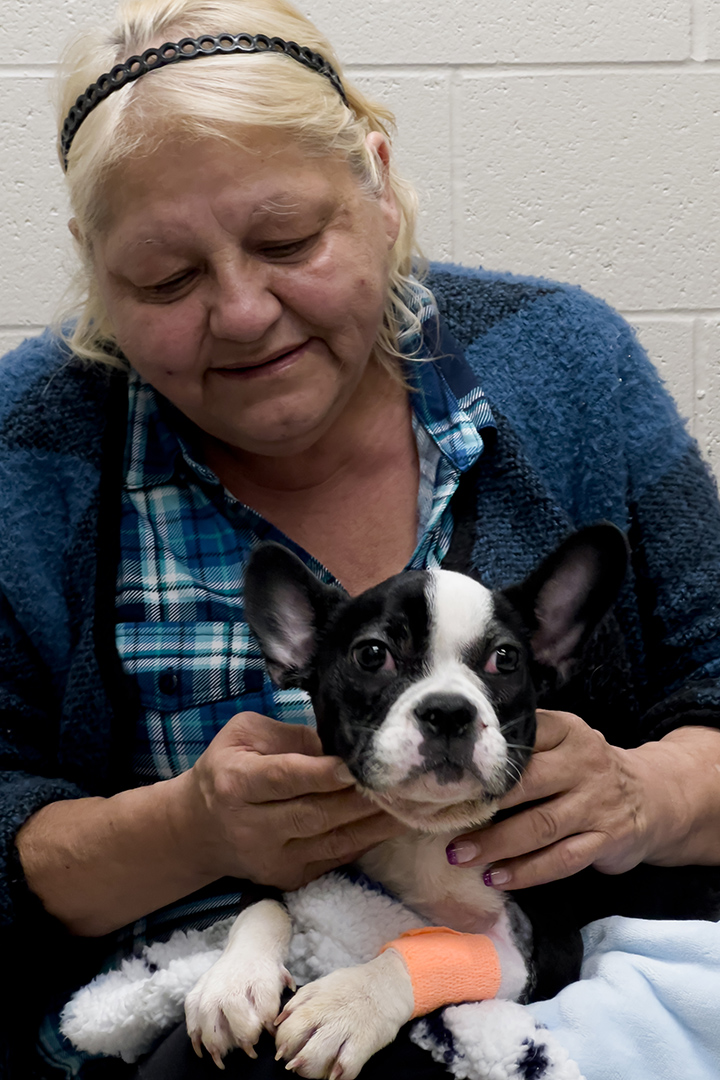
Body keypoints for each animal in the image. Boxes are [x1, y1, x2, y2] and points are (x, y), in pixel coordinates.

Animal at [185, 522, 630, 1071]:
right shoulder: (281, 852)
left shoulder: (527, 951)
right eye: (372, 654)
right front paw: (234, 982)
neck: (425, 828)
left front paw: (347, 1005)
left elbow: (443, 947)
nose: (449, 710)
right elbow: (260, 902)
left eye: (505, 659)